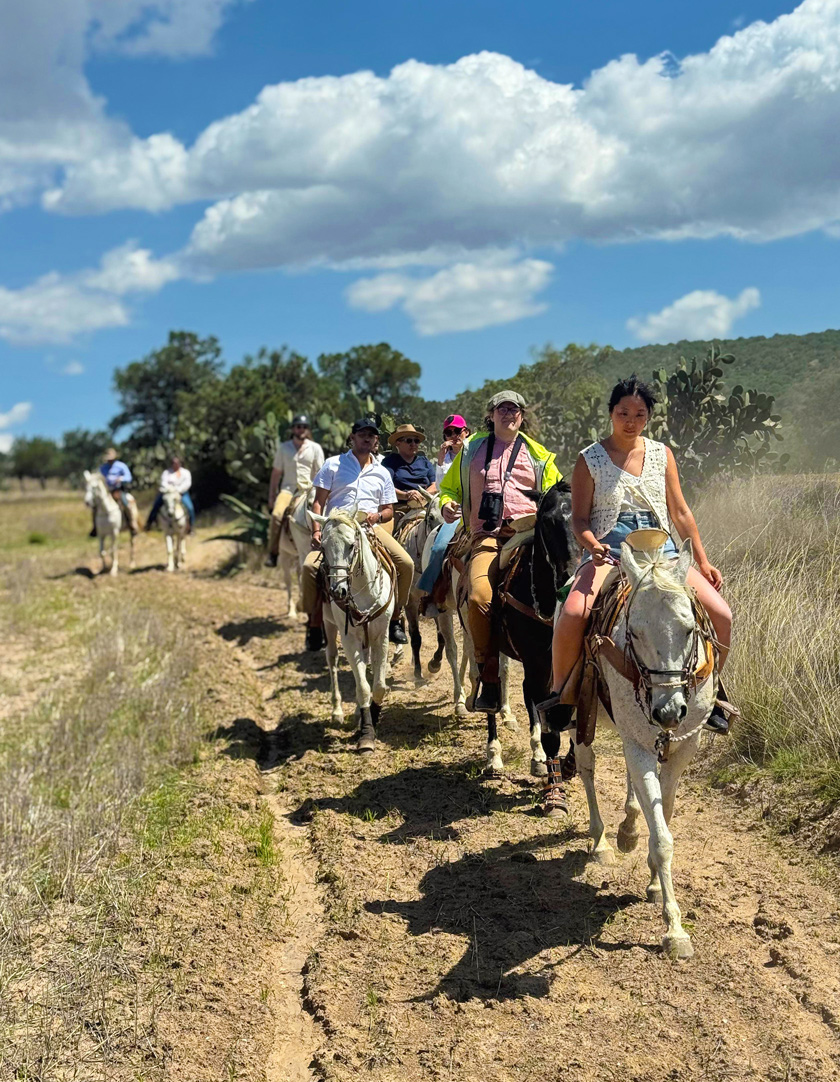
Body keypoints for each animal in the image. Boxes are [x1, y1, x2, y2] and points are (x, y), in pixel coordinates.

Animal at [276, 485, 316, 620]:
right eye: (310, 504)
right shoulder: (303, 553)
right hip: (284, 556)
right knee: (288, 581)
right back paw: (292, 610)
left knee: (298, 575)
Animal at [308, 508, 395, 753]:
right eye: (323, 547)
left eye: (350, 545)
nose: (338, 591)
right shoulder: (349, 639)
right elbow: (363, 687)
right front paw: (366, 735)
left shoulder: (381, 635)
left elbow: (378, 686)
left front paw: (371, 718)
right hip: (329, 625)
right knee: (332, 660)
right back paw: (337, 711)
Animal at [394, 495, 468, 717]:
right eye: (430, 517)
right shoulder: (411, 602)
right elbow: (416, 637)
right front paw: (418, 674)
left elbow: (441, 638)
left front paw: (434, 663)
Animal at [570, 538, 716, 960]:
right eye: (633, 633)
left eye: (689, 629)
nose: (668, 711)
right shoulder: (637, 742)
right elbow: (663, 838)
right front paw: (675, 930)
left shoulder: (683, 746)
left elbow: (662, 816)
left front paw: (653, 879)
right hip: (584, 717)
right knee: (586, 766)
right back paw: (602, 841)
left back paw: (628, 828)